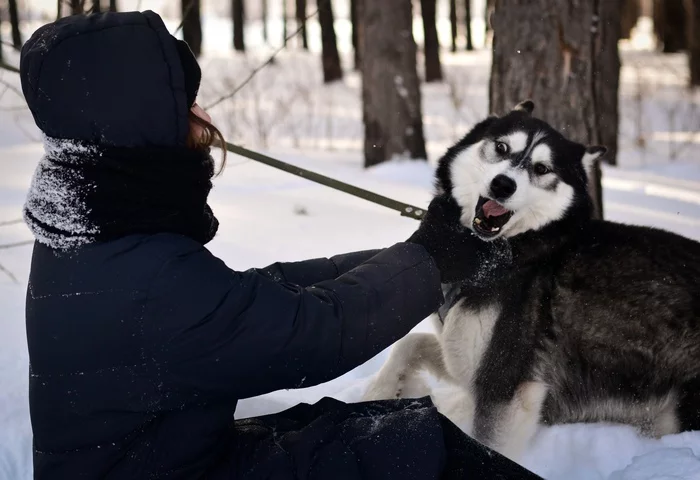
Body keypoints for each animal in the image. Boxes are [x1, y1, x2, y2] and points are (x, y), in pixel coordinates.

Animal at [364, 100, 700, 462]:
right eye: (501, 148)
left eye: (541, 169)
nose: (503, 185)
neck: (508, 252)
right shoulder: (468, 357)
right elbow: (409, 343)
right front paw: (381, 390)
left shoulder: (502, 384)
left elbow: (486, 442)